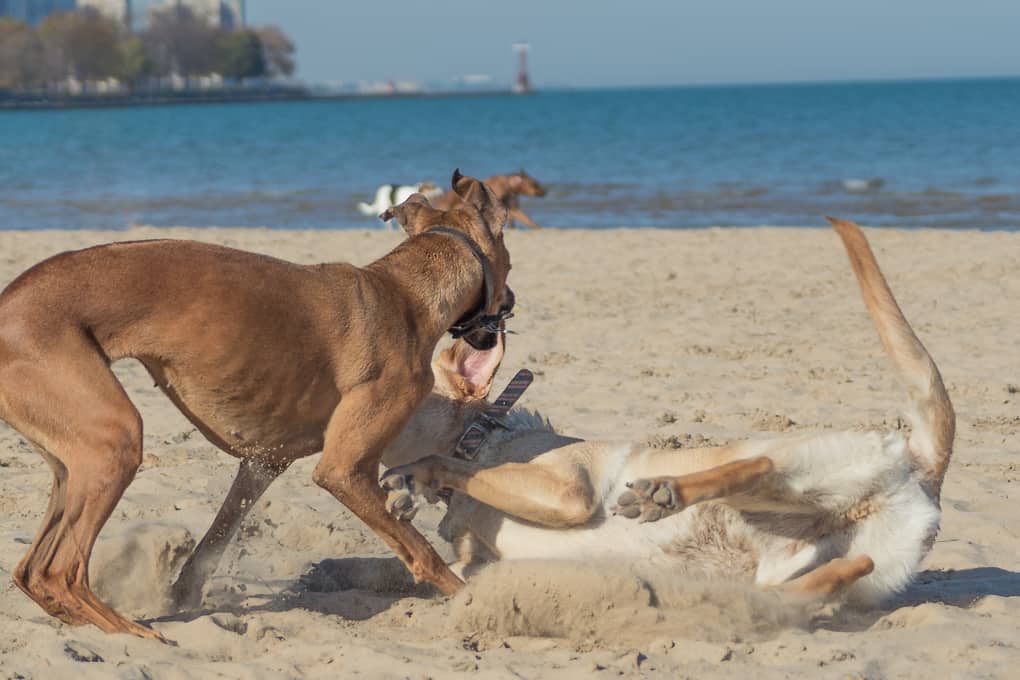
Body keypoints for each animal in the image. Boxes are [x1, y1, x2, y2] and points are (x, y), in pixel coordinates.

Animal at [0, 170, 514, 644]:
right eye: (509, 260)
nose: (510, 301)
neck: (404, 292)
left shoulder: (263, 463)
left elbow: (211, 545)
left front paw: (183, 597)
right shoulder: (344, 470)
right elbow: (422, 552)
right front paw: (471, 598)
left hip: (72, 462)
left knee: (31, 570)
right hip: (115, 440)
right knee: (59, 571)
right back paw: (132, 631)